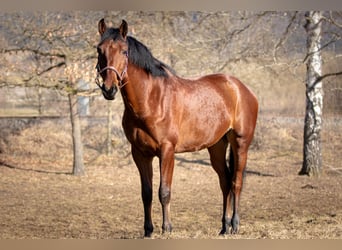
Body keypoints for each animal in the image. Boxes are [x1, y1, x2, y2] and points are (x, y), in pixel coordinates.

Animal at [95, 18, 258, 237]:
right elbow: (146, 193)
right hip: (216, 146)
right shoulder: (140, 153)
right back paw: (224, 227)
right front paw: (148, 231)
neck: (152, 100)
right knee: (225, 183)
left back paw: (235, 225)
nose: (109, 88)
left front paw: (167, 229)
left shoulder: (167, 151)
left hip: (241, 143)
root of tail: (240, 87)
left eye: (124, 51)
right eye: (99, 50)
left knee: (236, 182)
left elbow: (164, 191)